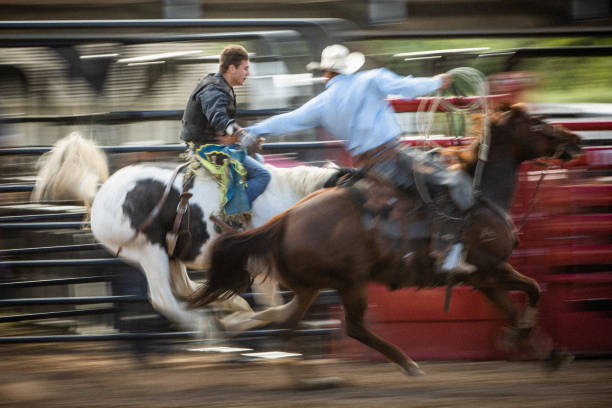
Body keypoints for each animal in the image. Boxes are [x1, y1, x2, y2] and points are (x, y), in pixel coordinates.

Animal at [32, 131, 350, 338]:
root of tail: (98, 192)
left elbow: (276, 307)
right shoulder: (264, 267)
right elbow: (277, 308)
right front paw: (237, 324)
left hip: (171, 252)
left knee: (184, 289)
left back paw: (230, 307)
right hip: (150, 250)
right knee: (164, 298)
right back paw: (208, 329)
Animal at [191, 104, 584, 376]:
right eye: (536, 123)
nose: (575, 140)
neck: (480, 194)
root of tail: (284, 219)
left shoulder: (482, 278)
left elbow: (514, 306)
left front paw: (541, 350)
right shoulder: (492, 268)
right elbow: (533, 289)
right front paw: (527, 338)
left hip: (310, 286)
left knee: (289, 324)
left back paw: (306, 377)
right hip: (351, 282)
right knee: (353, 327)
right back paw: (407, 364)